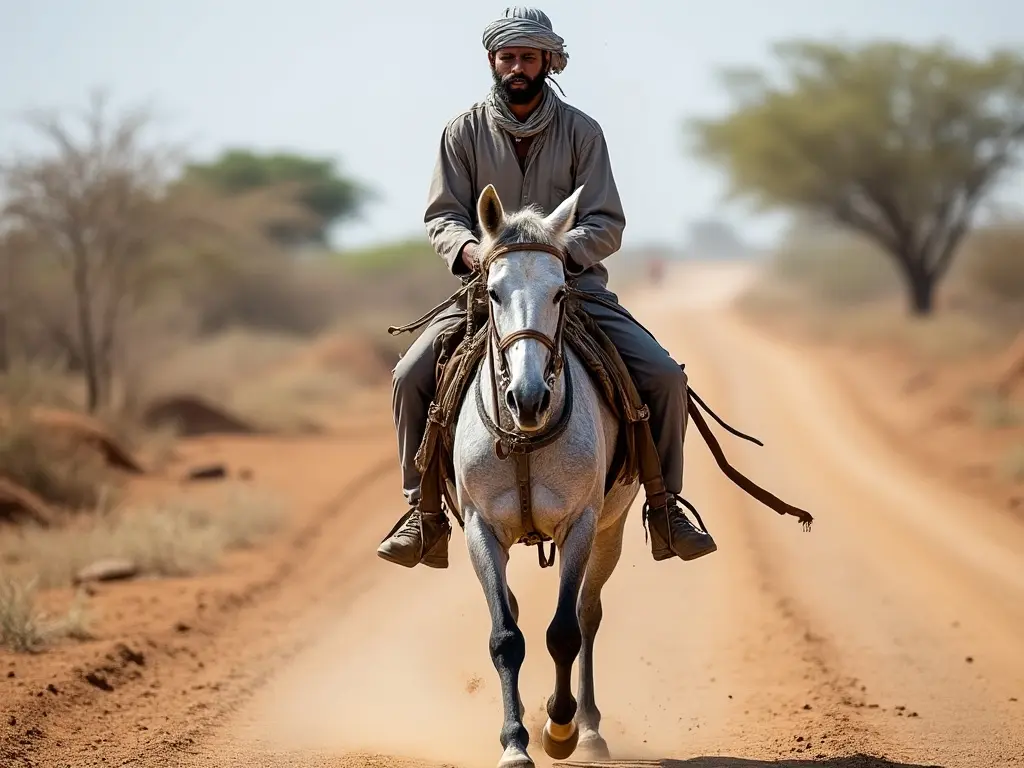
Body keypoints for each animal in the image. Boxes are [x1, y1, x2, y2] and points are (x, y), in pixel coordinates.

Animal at [450, 185, 638, 768]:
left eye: (559, 293)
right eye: (491, 292)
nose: (528, 398)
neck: (525, 437)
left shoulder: (581, 524)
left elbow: (564, 632)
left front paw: (560, 727)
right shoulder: (480, 528)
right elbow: (505, 636)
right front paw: (515, 742)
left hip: (611, 531)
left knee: (588, 613)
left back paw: (590, 727)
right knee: (513, 609)